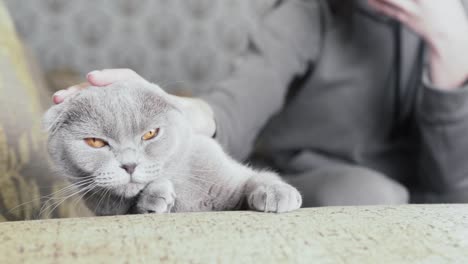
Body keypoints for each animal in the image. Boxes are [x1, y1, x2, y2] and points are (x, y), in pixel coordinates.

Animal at [43, 80, 300, 214]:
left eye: (150, 134)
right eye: (96, 142)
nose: (129, 165)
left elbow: (257, 177)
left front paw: (278, 193)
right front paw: (155, 196)